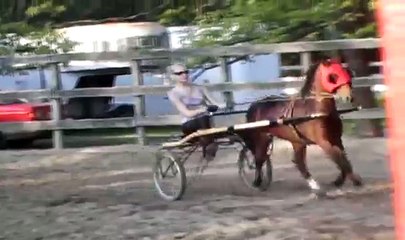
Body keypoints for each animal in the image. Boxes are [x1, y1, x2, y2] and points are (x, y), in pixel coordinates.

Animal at [237, 57, 362, 195]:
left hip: (297, 141)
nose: (349, 97)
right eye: (333, 76)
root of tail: (254, 105)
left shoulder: (336, 139)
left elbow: (343, 160)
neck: (316, 111)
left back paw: (314, 185)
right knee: (259, 159)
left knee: (298, 161)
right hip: (262, 138)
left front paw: (339, 181)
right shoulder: (323, 142)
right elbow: (340, 159)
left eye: (347, 72)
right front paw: (356, 181)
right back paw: (257, 182)